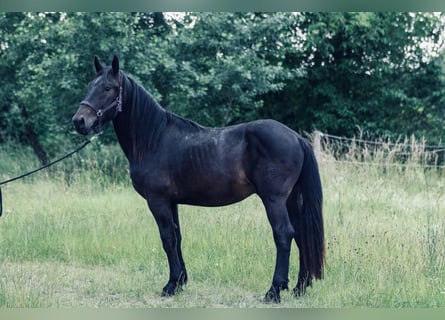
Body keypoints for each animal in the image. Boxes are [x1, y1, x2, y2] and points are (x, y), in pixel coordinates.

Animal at [72, 56, 322, 304]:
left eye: (107, 88)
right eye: (89, 85)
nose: (79, 121)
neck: (154, 139)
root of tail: (296, 137)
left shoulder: (158, 201)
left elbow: (167, 239)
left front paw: (171, 285)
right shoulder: (171, 202)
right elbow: (177, 237)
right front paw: (181, 281)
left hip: (274, 200)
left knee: (284, 234)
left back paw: (274, 290)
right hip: (292, 200)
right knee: (301, 235)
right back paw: (300, 287)